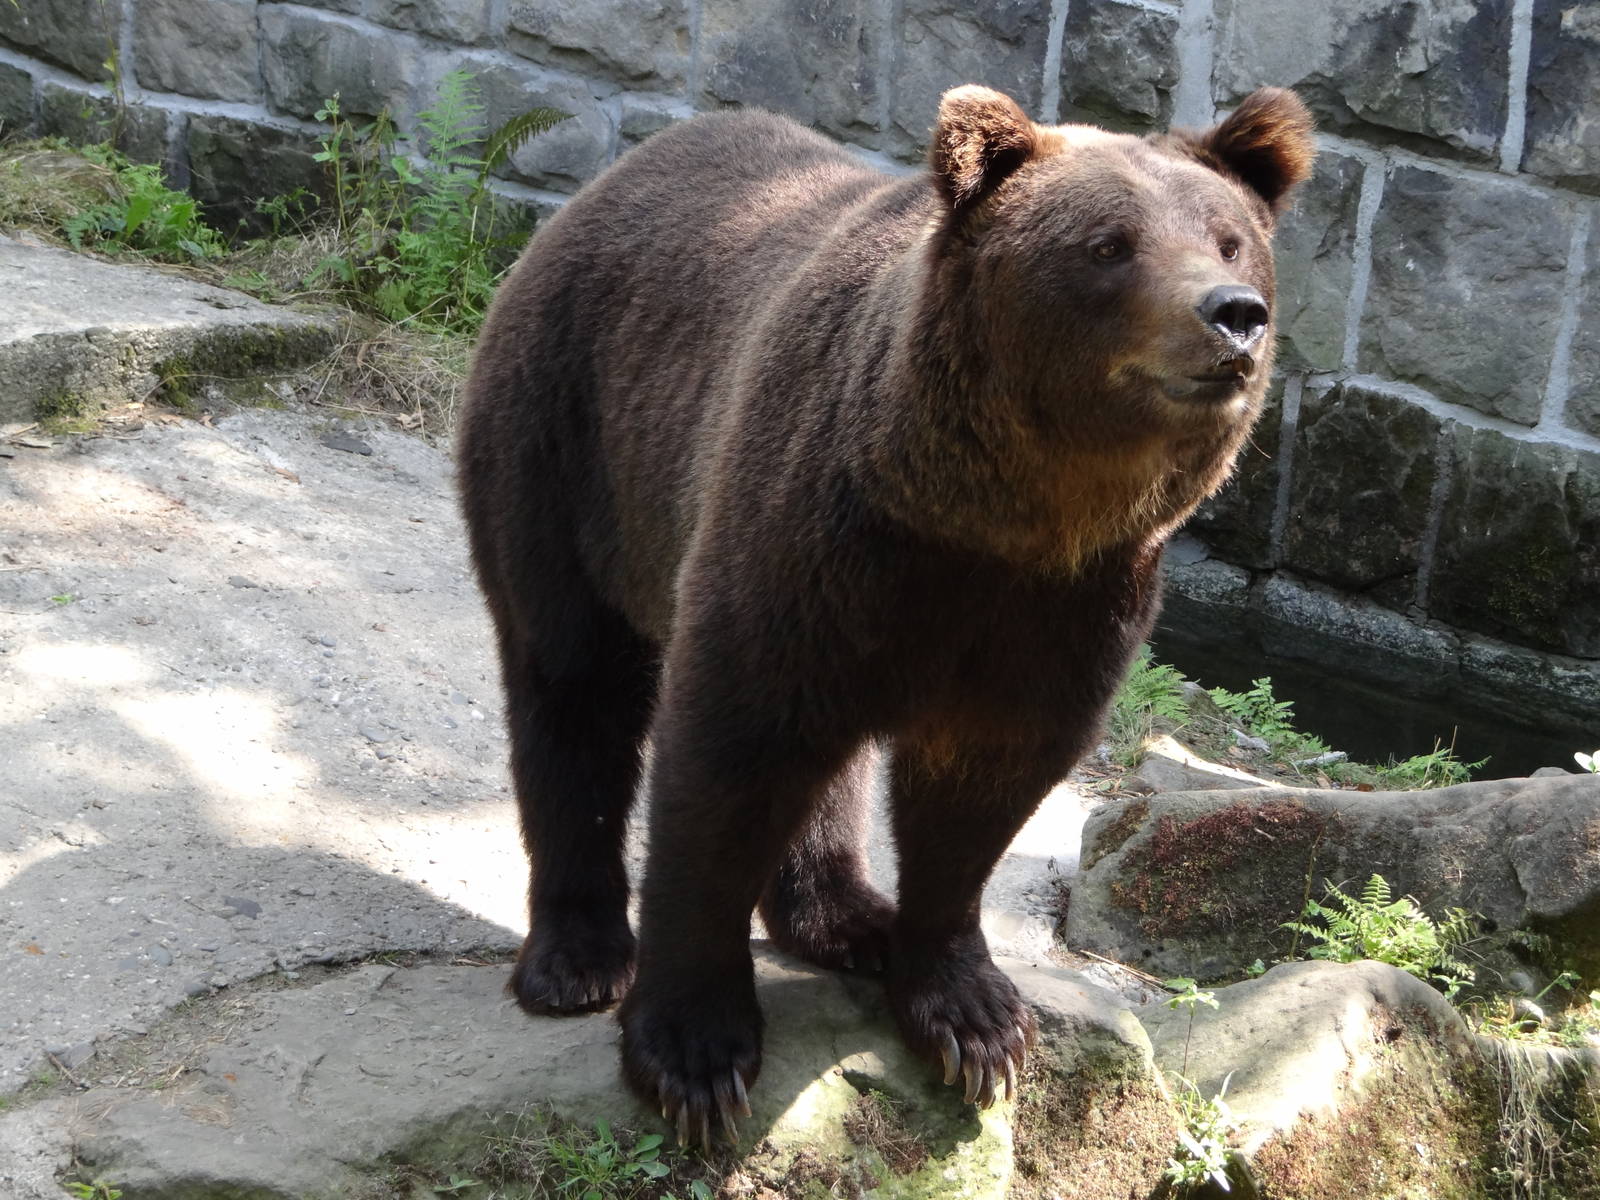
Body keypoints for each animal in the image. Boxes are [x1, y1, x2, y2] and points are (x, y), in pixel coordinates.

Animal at [456, 84, 1314, 1146]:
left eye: (1232, 239)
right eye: (1110, 244)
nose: (1233, 315)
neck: (996, 520)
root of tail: (608, 180)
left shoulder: (1068, 604)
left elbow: (981, 792)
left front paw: (975, 1021)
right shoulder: (822, 536)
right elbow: (729, 758)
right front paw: (694, 1052)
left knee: (826, 759)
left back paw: (846, 916)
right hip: (568, 442)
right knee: (573, 684)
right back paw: (576, 955)